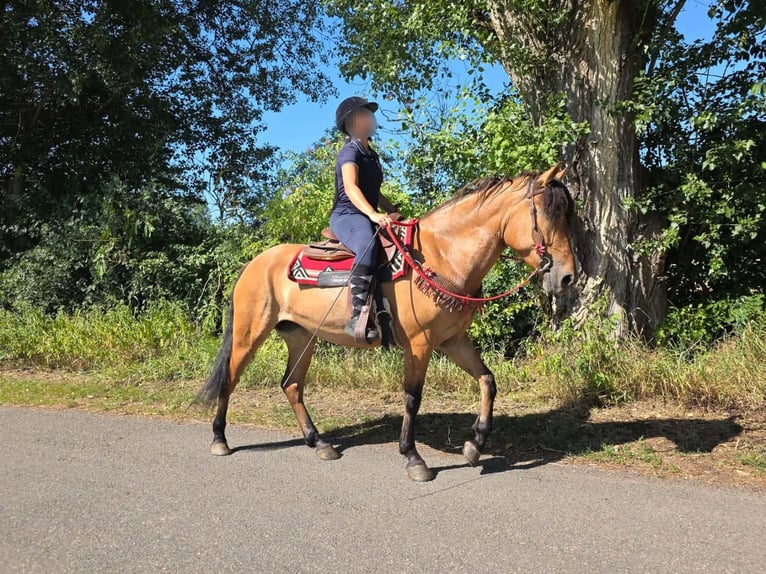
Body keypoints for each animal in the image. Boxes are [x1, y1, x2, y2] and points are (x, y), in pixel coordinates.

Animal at [195, 163, 576, 481]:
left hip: (302, 337)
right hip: (249, 333)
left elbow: (487, 381)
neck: (442, 256)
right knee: (230, 378)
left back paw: (319, 443)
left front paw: (474, 446)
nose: (568, 278)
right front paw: (414, 458)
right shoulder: (419, 344)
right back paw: (219, 438)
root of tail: (254, 263)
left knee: (291, 385)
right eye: (547, 215)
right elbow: (412, 397)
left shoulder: (452, 340)